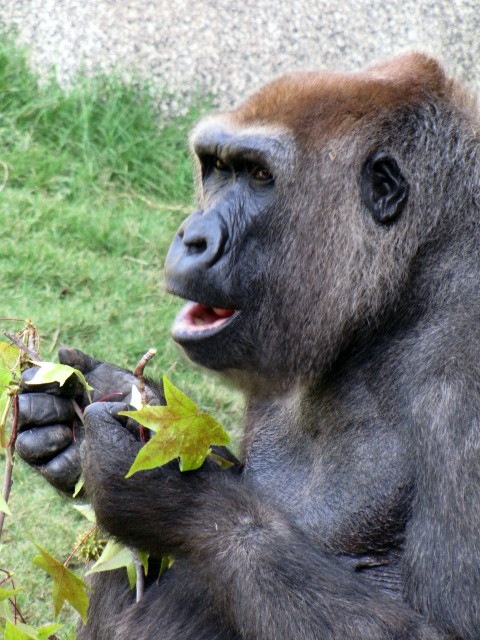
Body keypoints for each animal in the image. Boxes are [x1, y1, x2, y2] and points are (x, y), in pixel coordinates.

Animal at [17, 52, 480, 638]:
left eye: (260, 176)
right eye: (217, 167)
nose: (191, 237)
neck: (413, 277)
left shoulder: (467, 373)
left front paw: (176, 499)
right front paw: (89, 417)